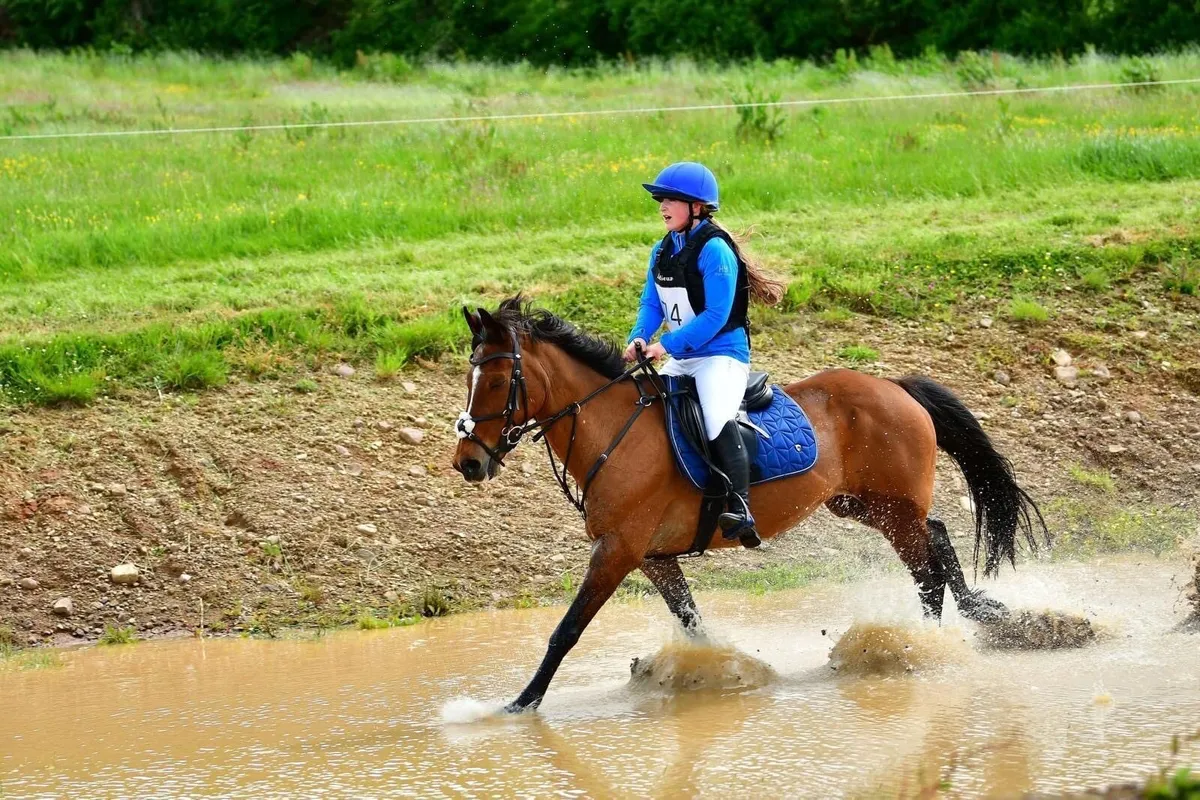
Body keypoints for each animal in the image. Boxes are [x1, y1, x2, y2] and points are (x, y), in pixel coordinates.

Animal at [452, 297, 1046, 713]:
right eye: (469, 377)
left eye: (499, 380)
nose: (469, 463)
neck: (613, 430)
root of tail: (893, 386)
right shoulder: (652, 557)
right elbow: (691, 619)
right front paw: (716, 671)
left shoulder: (617, 551)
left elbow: (566, 630)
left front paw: (518, 704)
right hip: (864, 505)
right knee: (937, 539)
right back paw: (964, 622)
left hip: (893, 509)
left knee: (928, 567)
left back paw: (926, 646)